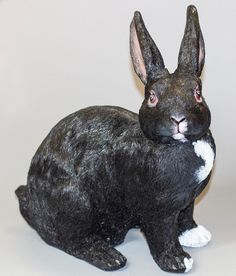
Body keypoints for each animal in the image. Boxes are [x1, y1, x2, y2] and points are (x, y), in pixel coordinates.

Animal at [15, 5, 216, 272]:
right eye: (152, 98)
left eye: (197, 94)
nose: (177, 118)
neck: (180, 144)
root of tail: (32, 200)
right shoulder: (158, 208)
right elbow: (162, 234)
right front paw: (177, 260)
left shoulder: (187, 201)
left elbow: (185, 217)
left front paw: (196, 235)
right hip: (73, 202)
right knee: (70, 240)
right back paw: (109, 256)